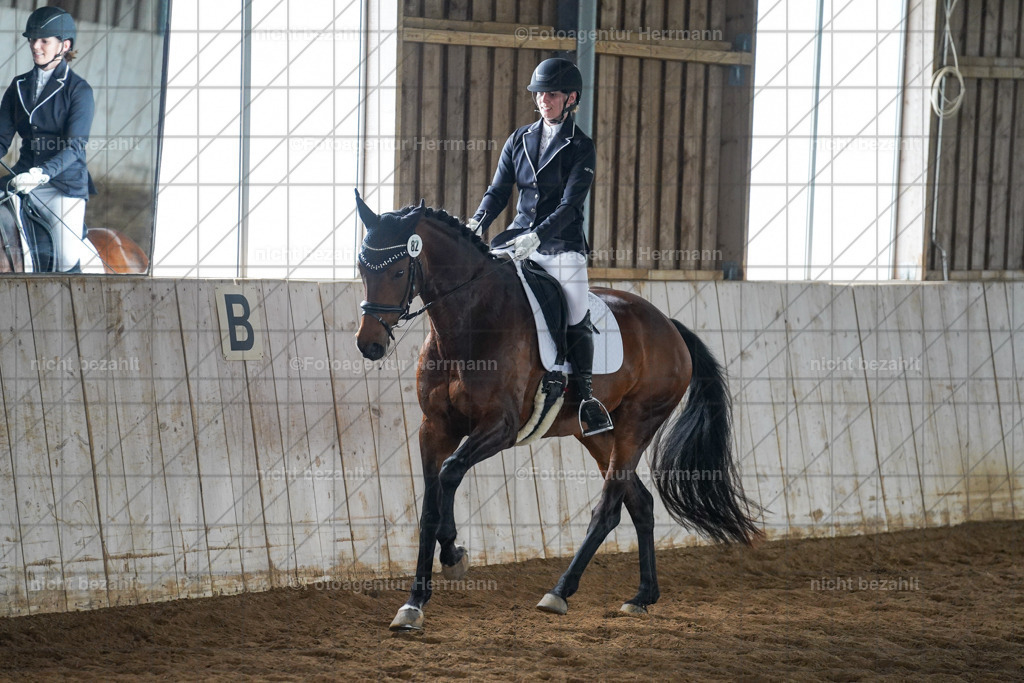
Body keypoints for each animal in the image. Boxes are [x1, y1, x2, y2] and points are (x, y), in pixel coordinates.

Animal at [353, 192, 762, 632]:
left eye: (398, 270)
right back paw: (641, 596)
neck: (470, 319)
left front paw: (453, 557)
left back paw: (559, 592)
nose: (369, 344)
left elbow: (449, 474)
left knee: (608, 508)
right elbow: (431, 503)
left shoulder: (500, 427)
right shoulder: (434, 429)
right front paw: (414, 602)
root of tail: (668, 326)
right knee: (640, 503)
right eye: (362, 267)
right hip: (596, 435)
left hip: (638, 424)